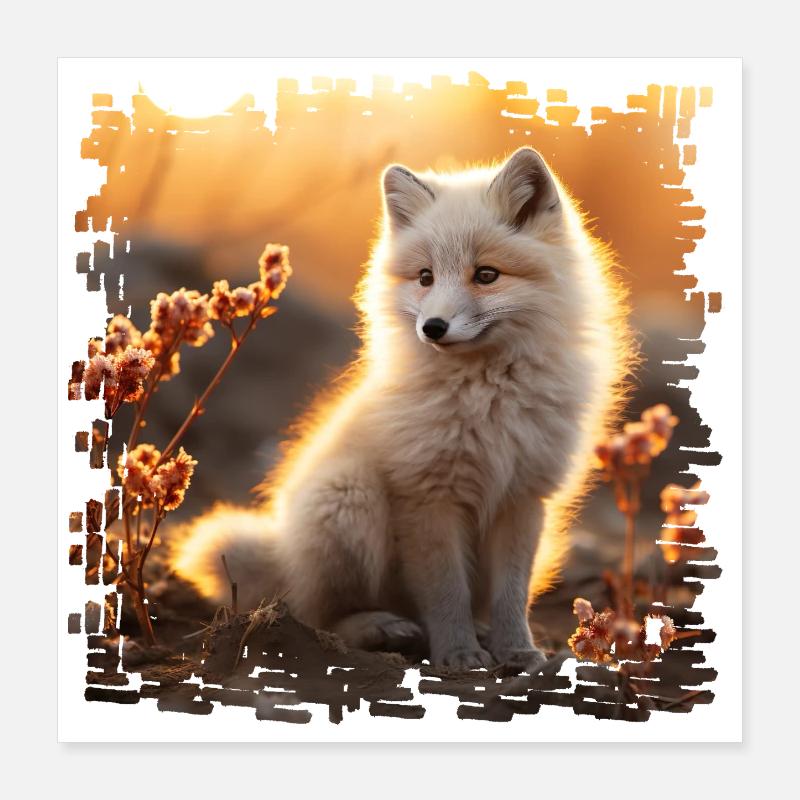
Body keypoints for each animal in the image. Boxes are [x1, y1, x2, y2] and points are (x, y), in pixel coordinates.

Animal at [171, 147, 632, 670]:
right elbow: (446, 593)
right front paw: (457, 656)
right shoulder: (427, 497)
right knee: (312, 613)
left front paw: (517, 651)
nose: (432, 327)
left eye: (486, 275)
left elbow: (511, 597)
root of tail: (282, 554)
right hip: (349, 498)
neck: (488, 399)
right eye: (425, 277)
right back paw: (378, 629)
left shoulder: (522, 498)